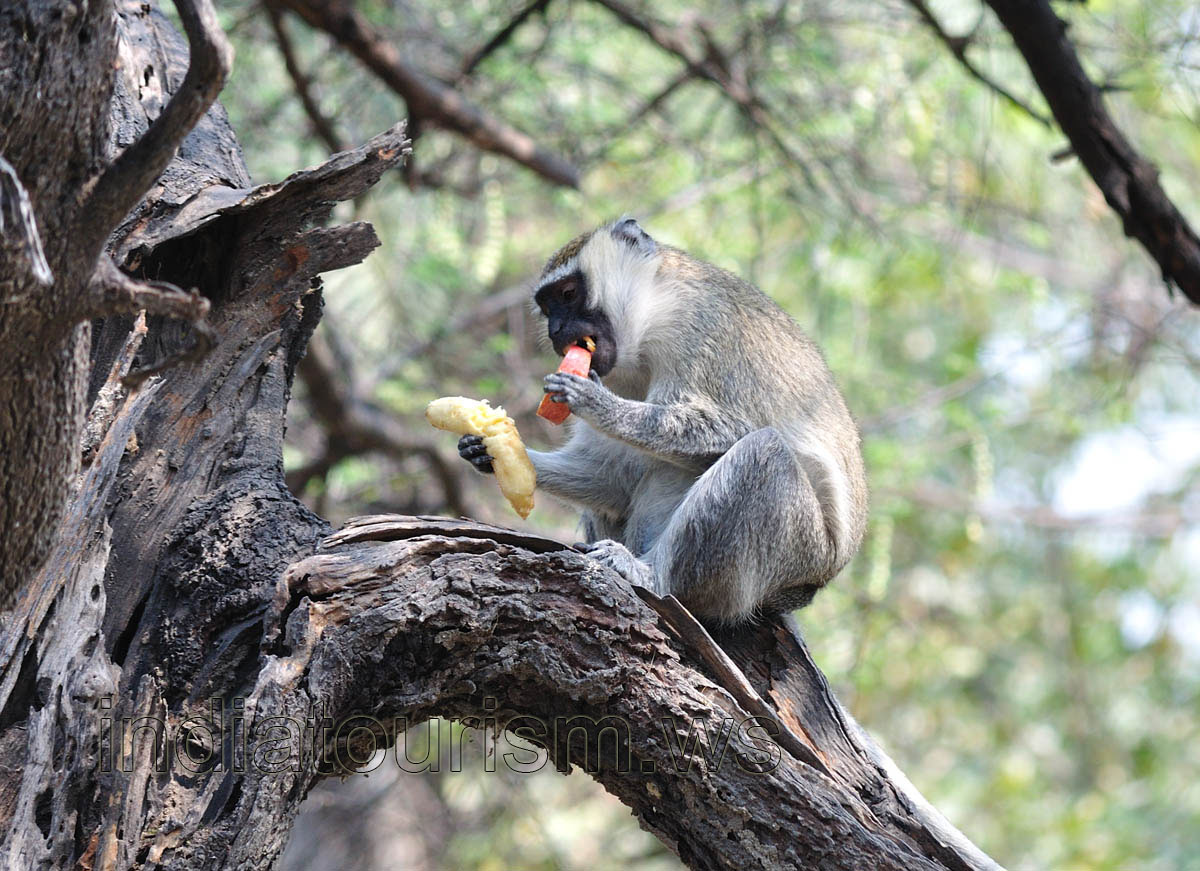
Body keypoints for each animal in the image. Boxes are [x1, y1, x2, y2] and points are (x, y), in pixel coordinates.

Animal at [458, 217, 868, 624]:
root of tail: (812, 583)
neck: (651, 317)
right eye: (547, 308)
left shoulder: (700, 330)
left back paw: (652, 576)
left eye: (569, 294)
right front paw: (485, 450)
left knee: (762, 452)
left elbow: (736, 429)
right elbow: (610, 478)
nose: (555, 330)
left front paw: (598, 404)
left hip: (800, 548)